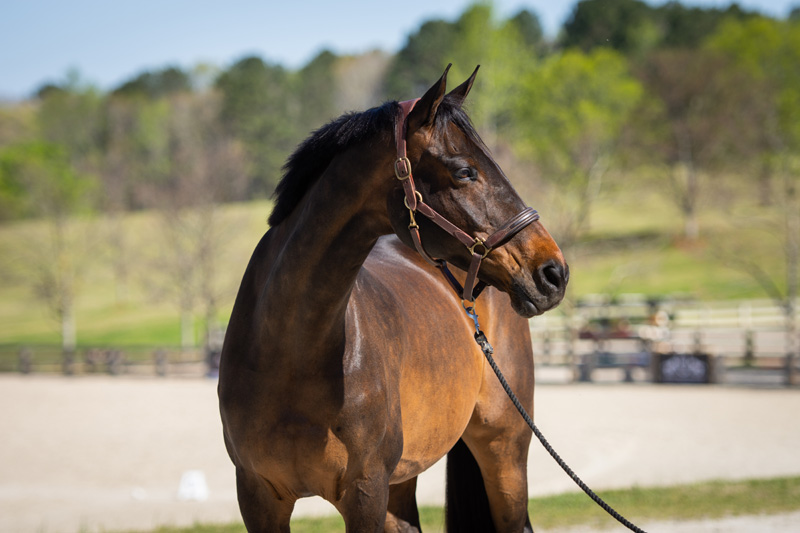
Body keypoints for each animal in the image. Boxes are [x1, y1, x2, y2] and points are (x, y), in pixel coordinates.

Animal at [219, 67, 568, 532]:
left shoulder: (365, 493)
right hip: (403, 482)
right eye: (464, 171)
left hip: (505, 454)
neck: (289, 354)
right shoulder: (258, 498)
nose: (553, 272)